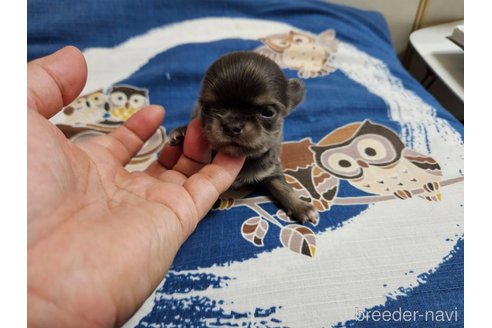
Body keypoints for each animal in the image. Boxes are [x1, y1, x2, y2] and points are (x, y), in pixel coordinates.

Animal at [169, 51, 320, 224]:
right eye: (207, 108)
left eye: (268, 112)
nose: (231, 126)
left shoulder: (270, 170)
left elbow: (283, 187)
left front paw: (300, 206)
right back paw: (182, 132)